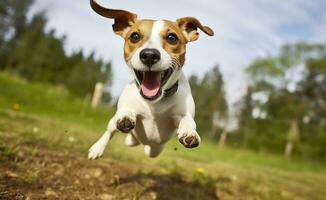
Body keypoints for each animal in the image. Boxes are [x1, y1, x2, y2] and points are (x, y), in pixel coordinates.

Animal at [88, 0, 214, 159]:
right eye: (135, 36)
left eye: (172, 38)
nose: (149, 55)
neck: (155, 103)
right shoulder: (128, 106)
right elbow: (126, 111)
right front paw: (126, 117)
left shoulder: (179, 115)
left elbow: (187, 120)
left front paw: (189, 132)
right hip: (113, 124)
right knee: (110, 131)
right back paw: (97, 148)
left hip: (155, 150)